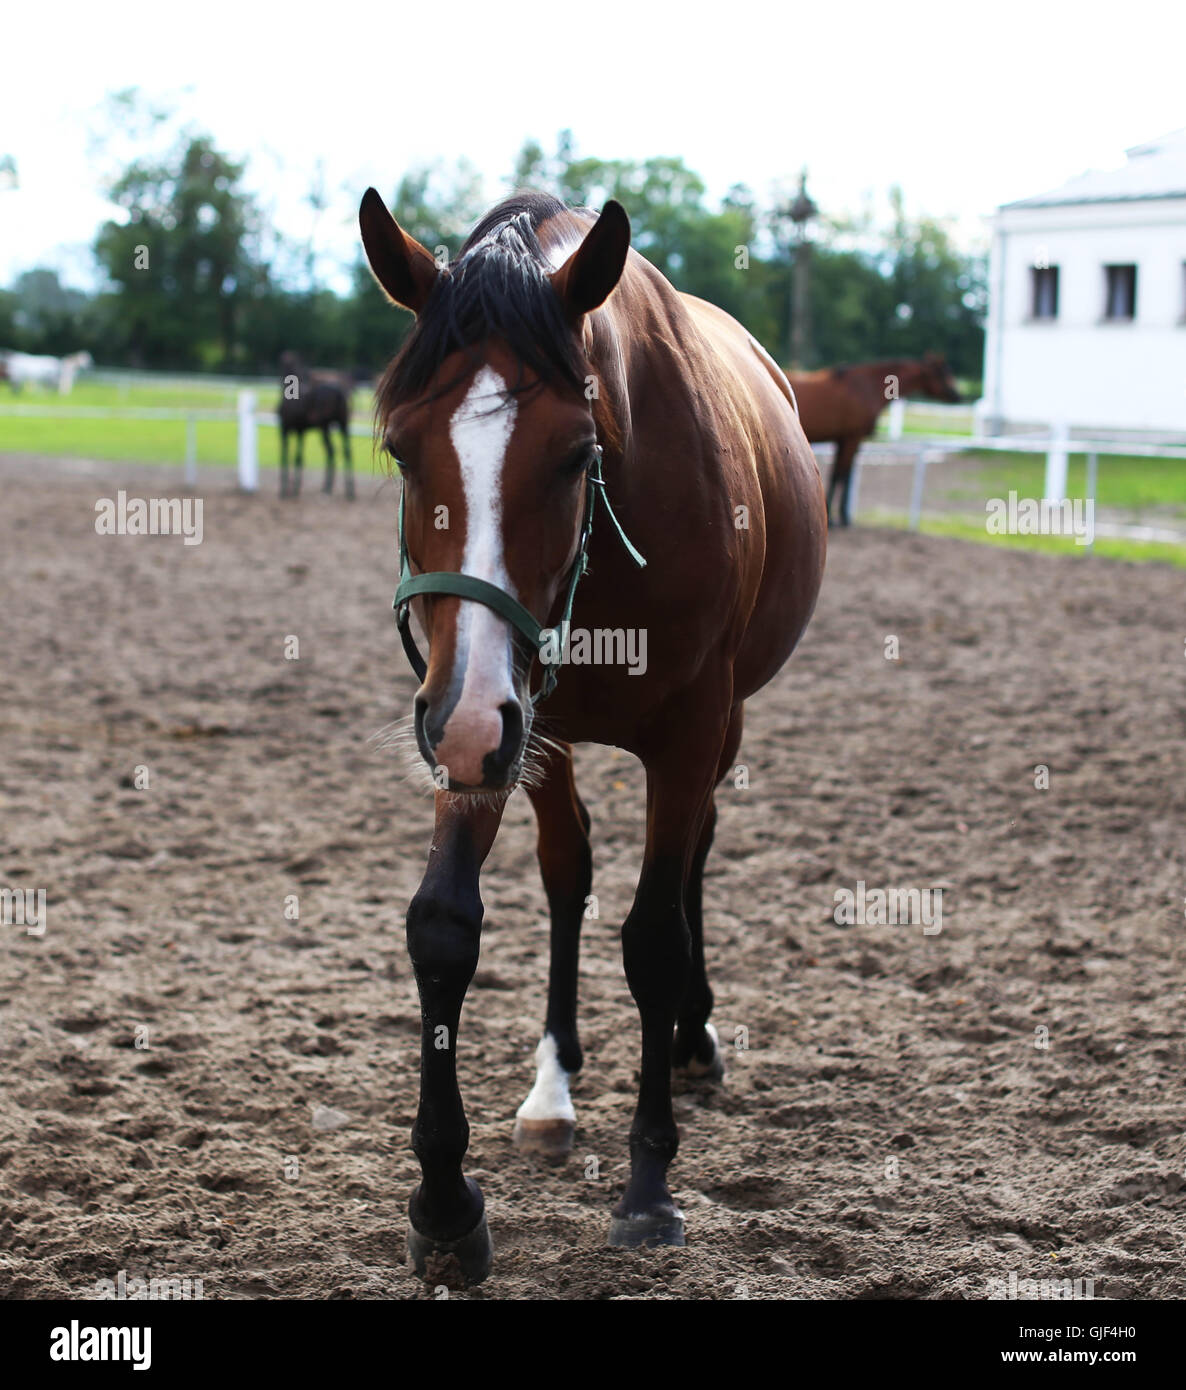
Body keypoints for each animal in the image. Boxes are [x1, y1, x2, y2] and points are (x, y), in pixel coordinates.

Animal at [276, 353, 351, 500]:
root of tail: (339, 392)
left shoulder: (290, 429)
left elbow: (290, 456)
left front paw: (288, 490)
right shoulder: (295, 431)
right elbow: (294, 456)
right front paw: (292, 489)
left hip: (329, 427)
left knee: (335, 451)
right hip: (338, 426)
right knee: (342, 452)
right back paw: (342, 490)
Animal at [355, 187, 828, 1289]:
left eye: (576, 454)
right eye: (399, 448)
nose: (457, 717)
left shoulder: (686, 729)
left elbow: (653, 937)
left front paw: (649, 1185)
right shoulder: (496, 721)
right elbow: (446, 925)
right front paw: (446, 1201)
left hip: (712, 722)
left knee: (691, 861)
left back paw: (693, 1038)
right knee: (569, 874)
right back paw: (554, 1090)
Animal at [784, 355, 962, 528]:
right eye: (941, 374)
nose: (958, 396)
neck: (866, 387)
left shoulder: (844, 440)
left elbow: (841, 475)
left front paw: (842, 516)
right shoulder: (852, 438)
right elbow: (841, 474)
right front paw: (837, 518)